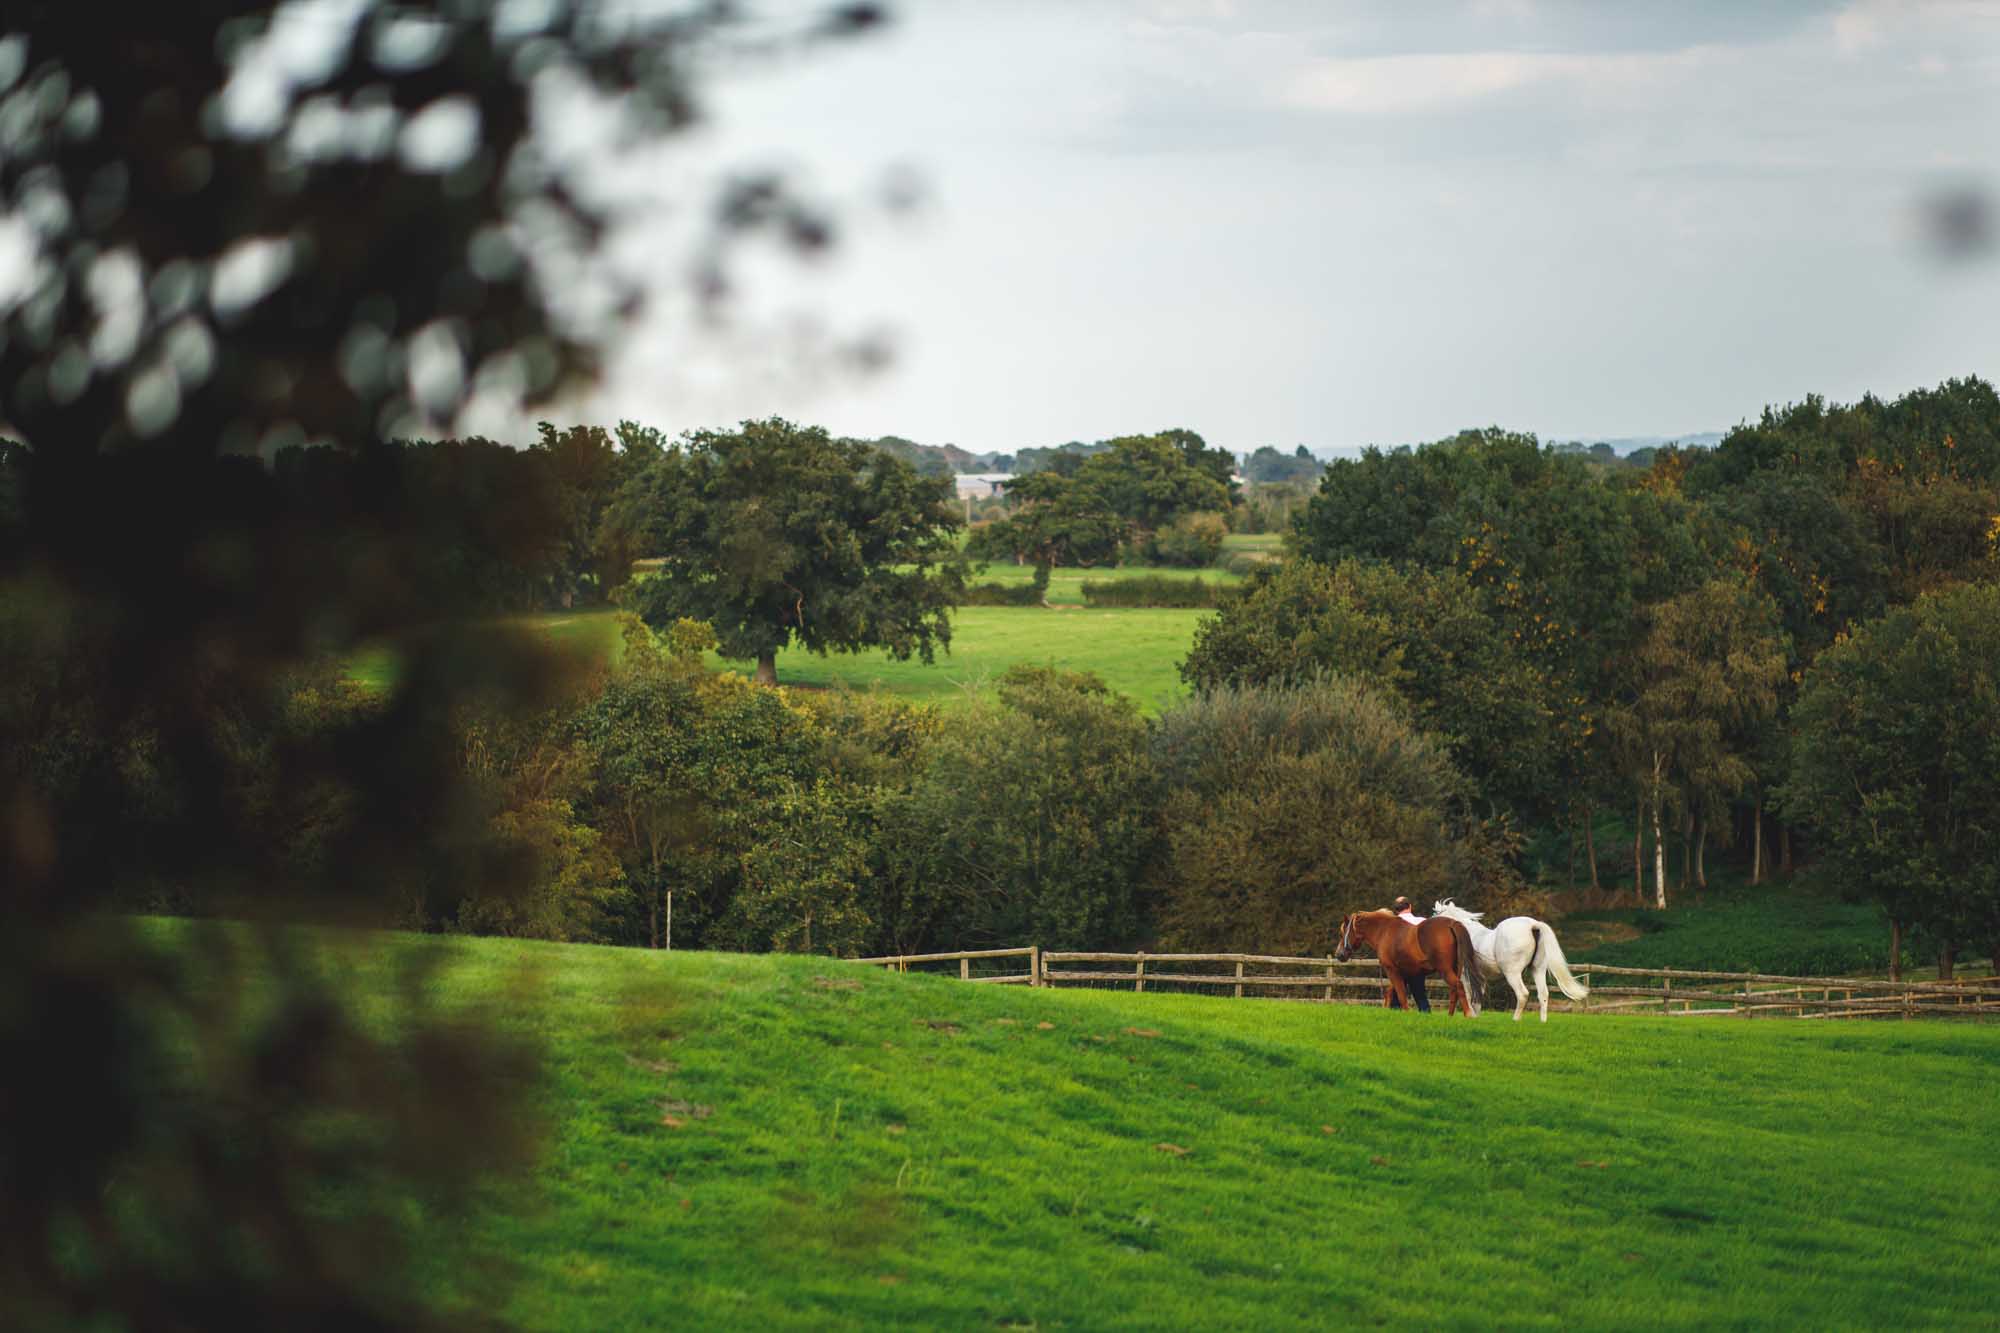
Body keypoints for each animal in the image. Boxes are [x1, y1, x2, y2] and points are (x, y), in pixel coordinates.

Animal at [1336, 908, 1480, 1012]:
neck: (1383, 931)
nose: (1339, 955)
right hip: (1455, 968)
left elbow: (1401, 994)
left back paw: (1468, 1015)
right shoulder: (1404, 972)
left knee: (1458, 986)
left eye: (1343, 933)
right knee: (1454, 991)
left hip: (1445, 969)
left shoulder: (1391, 970)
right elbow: (1391, 992)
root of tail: (1451, 924)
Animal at [1432, 896, 1584, 1020]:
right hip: (1538, 970)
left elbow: (1468, 995)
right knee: (1543, 995)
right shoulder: (1480, 978)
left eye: (1435, 915)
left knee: (1522, 994)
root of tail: (1533, 925)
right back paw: (1542, 1022)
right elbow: (1477, 999)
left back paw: (1515, 1020)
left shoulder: (1465, 976)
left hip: (1512, 973)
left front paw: (1471, 1016)